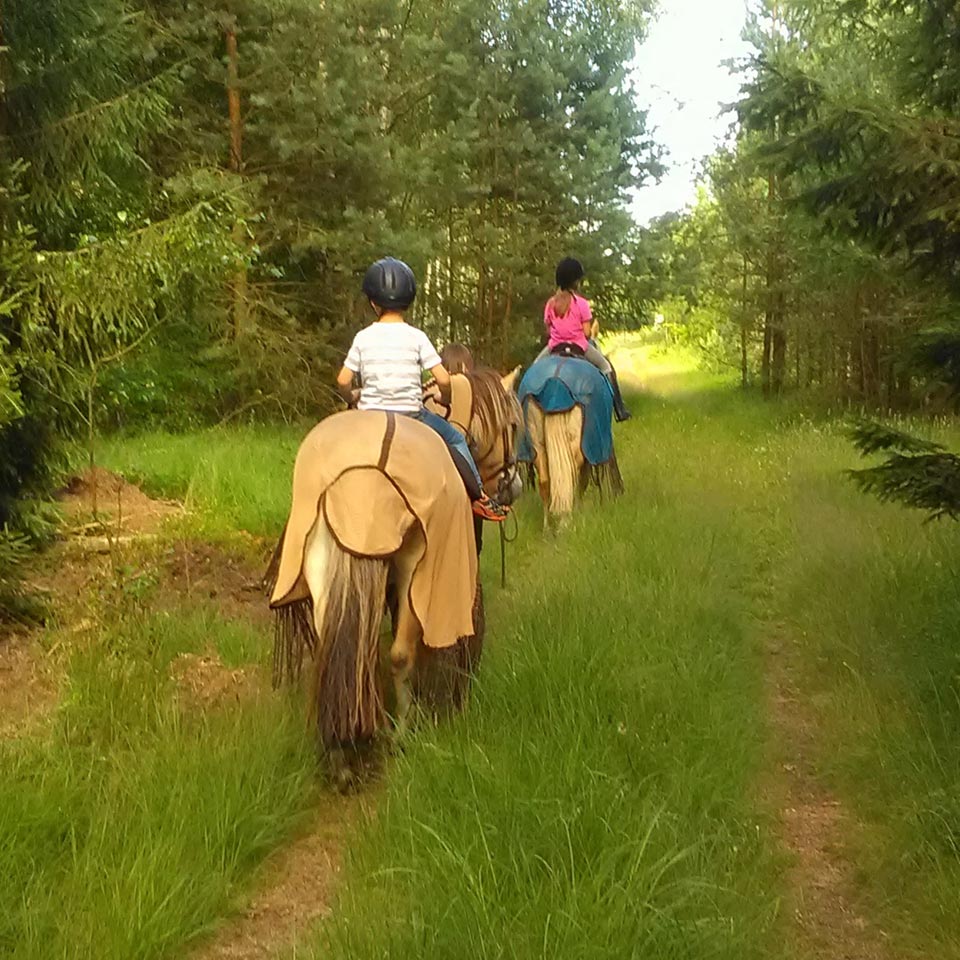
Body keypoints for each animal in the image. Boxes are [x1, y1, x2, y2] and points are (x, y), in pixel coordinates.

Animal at [266, 368, 520, 756]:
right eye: (515, 425)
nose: (514, 486)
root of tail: (369, 468)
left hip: (321, 563)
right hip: (414, 569)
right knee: (400, 654)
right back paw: (400, 729)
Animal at [516, 348, 624, 524]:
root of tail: (555, 382)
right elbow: (584, 480)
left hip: (538, 445)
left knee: (546, 482)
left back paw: (548, 525)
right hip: (576, 446)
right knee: (573, 479)